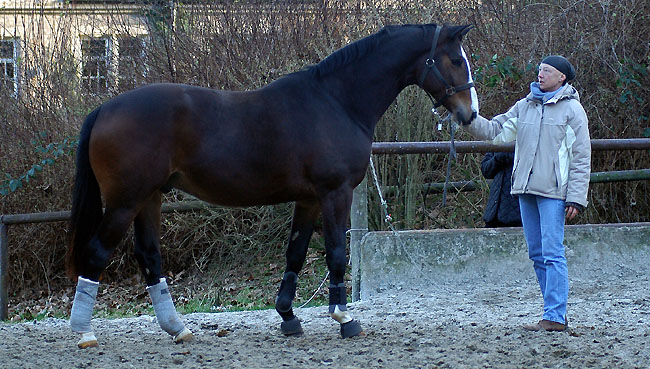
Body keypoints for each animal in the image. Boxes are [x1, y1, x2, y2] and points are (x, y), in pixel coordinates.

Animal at [67, 23, 476, 348]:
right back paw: (85, 332)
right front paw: (344, 318)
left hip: (150, 198)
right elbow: (336, 253)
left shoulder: (309, 199)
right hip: (126, 201)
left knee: (150, 256)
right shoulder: (335, 193)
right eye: (456, 60)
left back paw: (178, 329)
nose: (470, 113)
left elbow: (295, 253)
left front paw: (288, 316)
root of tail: (104, 109)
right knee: (97, 254)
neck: (336, 101)